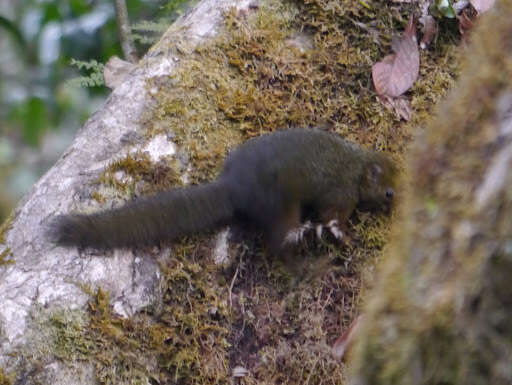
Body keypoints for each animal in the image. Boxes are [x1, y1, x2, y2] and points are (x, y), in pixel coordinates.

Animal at [50, 127, 396, 250]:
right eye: (390, 192)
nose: (398, 204)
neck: (357, 166)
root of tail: (233, 185)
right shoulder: (341, 194)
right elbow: (331, 217)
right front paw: (341, 234)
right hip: (279, 202)